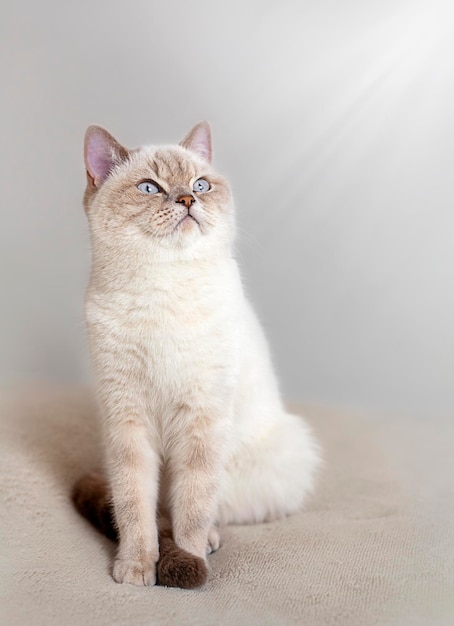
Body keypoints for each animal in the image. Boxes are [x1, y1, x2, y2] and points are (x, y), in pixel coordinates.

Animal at [72, 120, 320, 584]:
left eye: (200, 185)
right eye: (150, 188)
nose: (187, 199)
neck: (163, 288)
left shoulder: (201, 419)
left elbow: (192, 506)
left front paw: (188, 560)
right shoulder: (128, 421)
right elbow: (134, 506)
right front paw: (137, 566)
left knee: (201, 509)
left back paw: (207, 543)